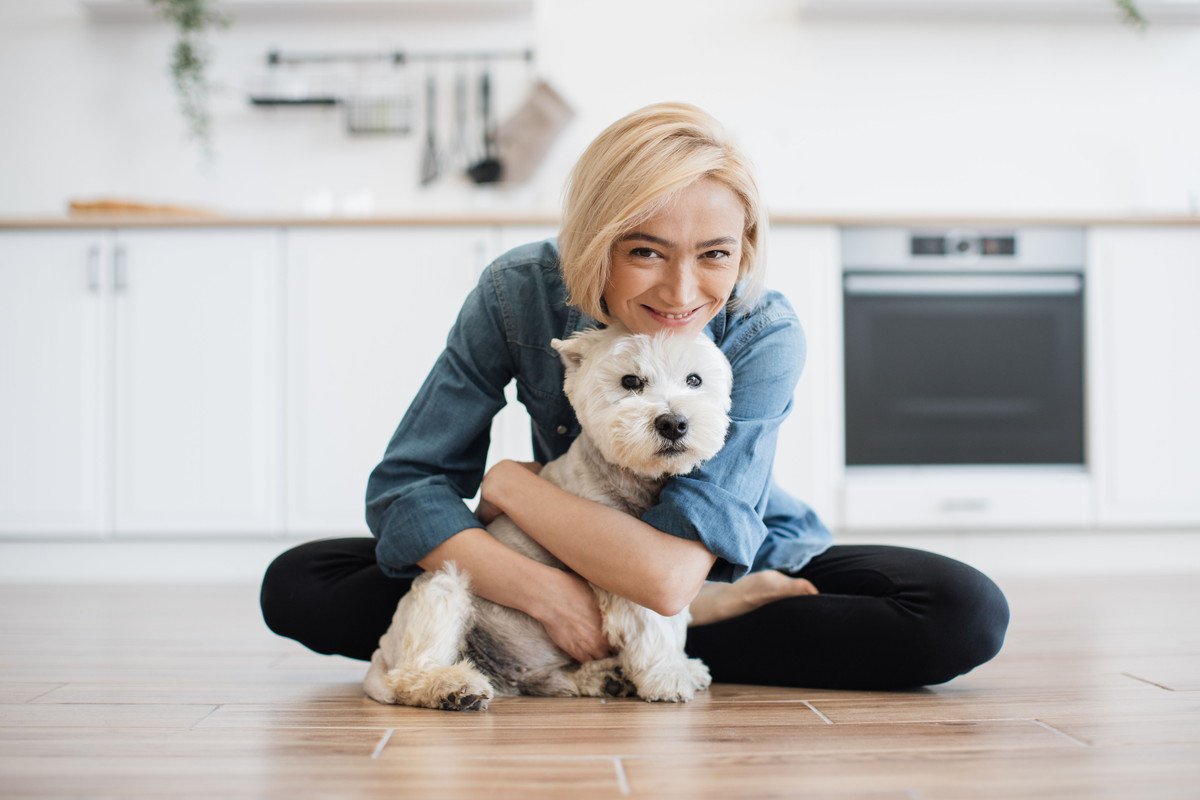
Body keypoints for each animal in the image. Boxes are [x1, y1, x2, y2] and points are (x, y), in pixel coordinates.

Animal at [362, 326, 729, 714]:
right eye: (630, 381)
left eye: (694, 379)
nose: (673, 423)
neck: (633, 479)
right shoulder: (629, 570)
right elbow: (652, 623)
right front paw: (668, 675)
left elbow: (674, 619)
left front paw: (684, 666)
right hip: (443, 591)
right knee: (411, 672)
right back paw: (453, 687)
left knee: (548, 681)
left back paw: (605, 677)